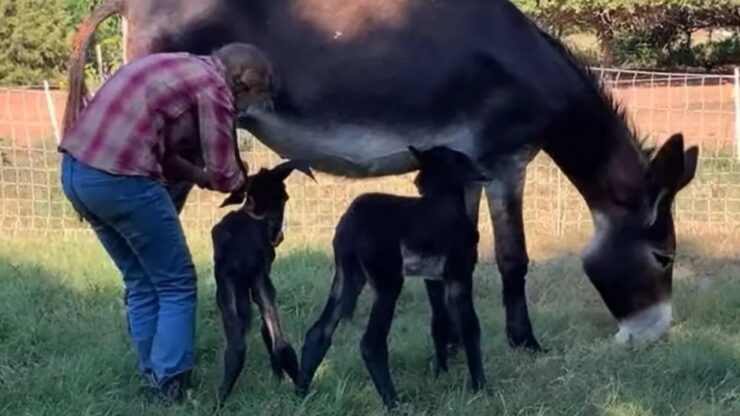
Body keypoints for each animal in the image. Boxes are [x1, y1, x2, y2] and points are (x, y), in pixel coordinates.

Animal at [210, 158, 314, 404]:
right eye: (285, 197)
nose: (278, 237)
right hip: (255, 285)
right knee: (279, 341)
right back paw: (298, 389)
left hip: (232, 289)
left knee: (243, 344)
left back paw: (220, 400)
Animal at [298, 145, 488, 406]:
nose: (484, 173)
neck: (442, 197)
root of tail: (352, 219)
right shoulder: (460, 275)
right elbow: (470, 327)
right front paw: (481, 388)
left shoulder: (433, 279)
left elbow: (440, 324)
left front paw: (440, 373)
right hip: (388, 280)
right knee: (371, 342)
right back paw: (394, 402)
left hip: (348, 277)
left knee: (319, 332)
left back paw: (300, 392)